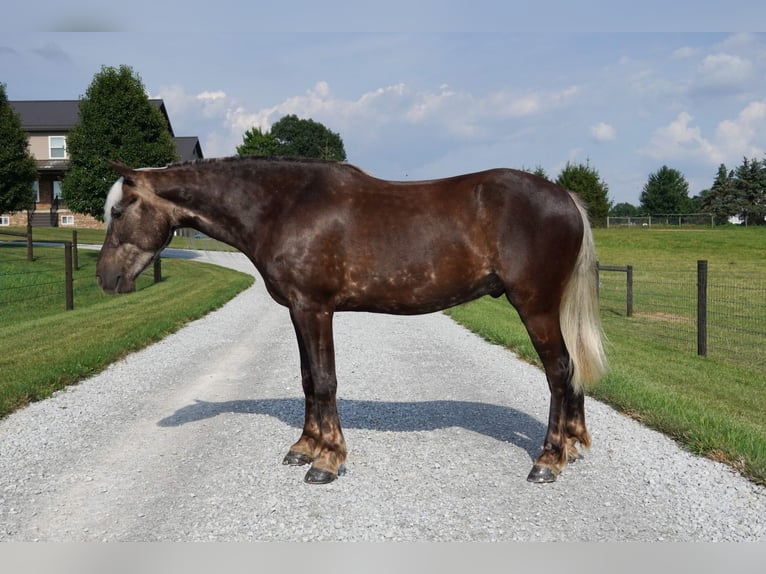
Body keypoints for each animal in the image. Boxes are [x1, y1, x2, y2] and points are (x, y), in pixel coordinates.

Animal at [96, 156, 606, 485]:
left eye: (118, 211)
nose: (105, 277)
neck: (283, 206)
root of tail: (565, 197)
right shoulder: (298, 310)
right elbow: (307, 378)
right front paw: (303, 448)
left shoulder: (314, 308)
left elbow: (324, 381)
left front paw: (327, 461)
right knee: (570, 371)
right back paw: (572, 446)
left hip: (534, 306)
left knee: (559, 371)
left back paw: (548, 461)